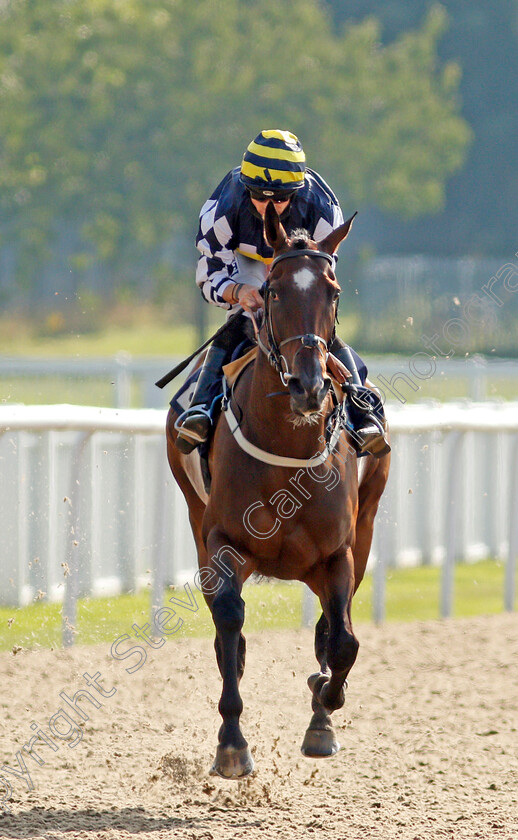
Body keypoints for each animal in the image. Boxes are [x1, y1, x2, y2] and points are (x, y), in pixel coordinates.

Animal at [167, 203, 390, 780]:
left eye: (333, 291)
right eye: (270, 292)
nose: (309, 386)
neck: (288, 444)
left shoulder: (338, 552)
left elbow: (343, 641)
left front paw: (322, 713)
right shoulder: (222, 541)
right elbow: (229, 625)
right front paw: (231, 744)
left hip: (366, 528)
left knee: (331, 627)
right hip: (196, 518)